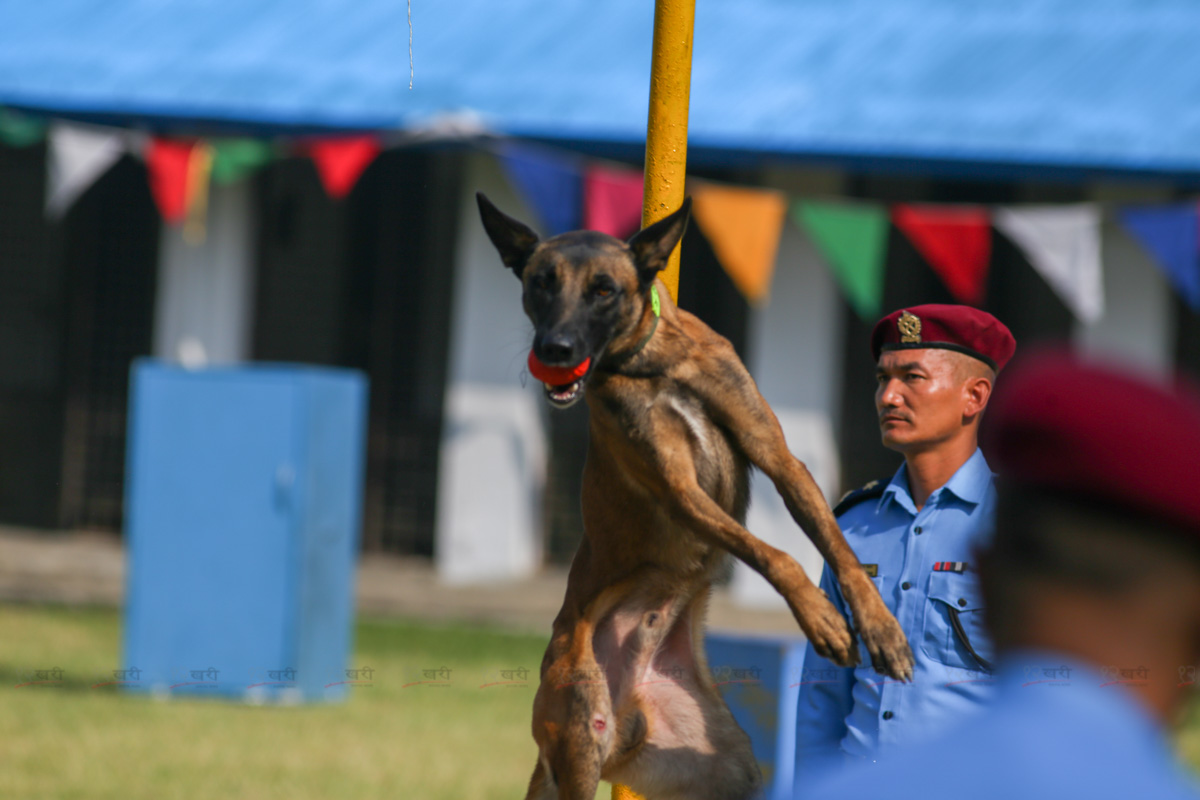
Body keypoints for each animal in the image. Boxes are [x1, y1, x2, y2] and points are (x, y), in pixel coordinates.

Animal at [475, 194, 907, 800]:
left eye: (604, 289)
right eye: (541, 283)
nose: (554, 350)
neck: (650, 362)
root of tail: (626, 716)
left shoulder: (776, 455)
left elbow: (835, 548)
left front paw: (878, 627)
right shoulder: (679, 489)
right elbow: (775, 554)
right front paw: (821, 618)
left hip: (729, 769)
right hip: (580, 732)